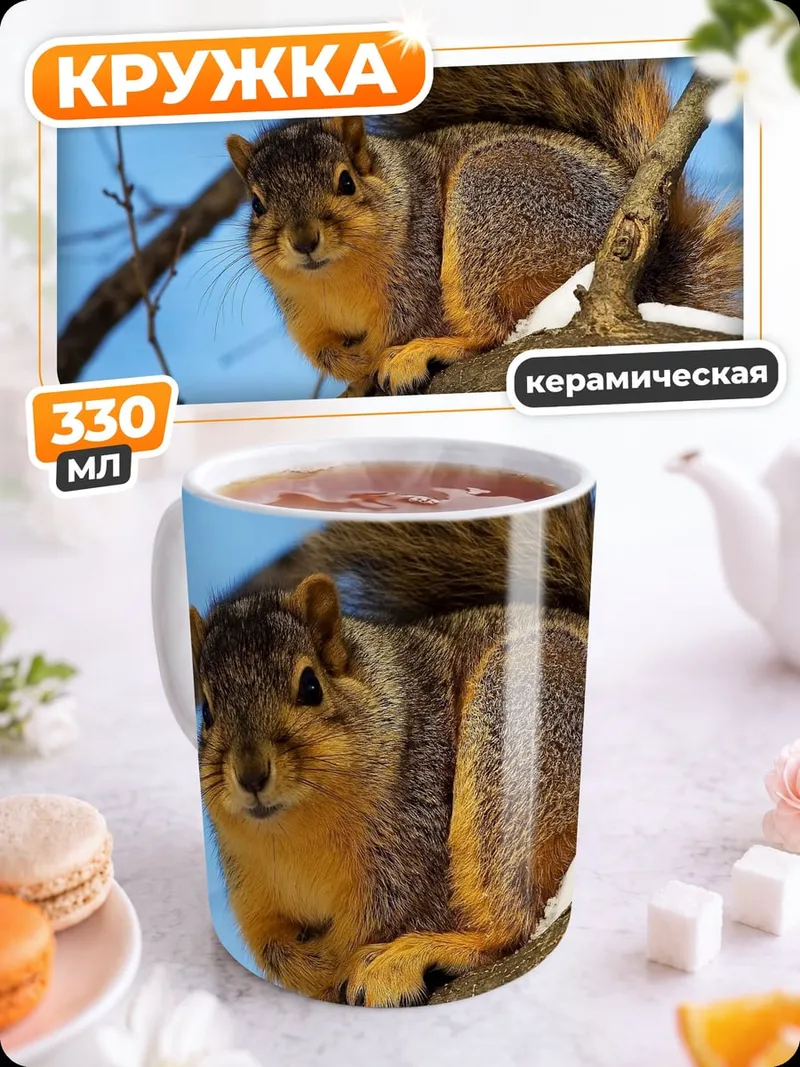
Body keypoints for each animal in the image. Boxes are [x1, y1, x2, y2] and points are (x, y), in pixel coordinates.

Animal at [190, 498, 592, 1007]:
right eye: (207, 711)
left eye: (311, 685)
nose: (251, 773)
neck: (291, 836)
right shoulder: (255, 895)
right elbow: (276, 951)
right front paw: (314, 966)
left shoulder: (415, 848)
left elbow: (383, 921)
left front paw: (351, 958)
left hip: (520, 734)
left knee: (514, 922)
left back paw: (414, 957)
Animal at [225, 60, 742, 397]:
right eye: (257, 204)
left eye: (346, 181)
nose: (303, 240)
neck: (335, 282)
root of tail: (650, 274)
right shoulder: (304, 316)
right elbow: (327, 355)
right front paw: (354, 365)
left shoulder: (418, 272)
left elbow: (403, 325)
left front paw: (381, 354)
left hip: (493, 203)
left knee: (492, 330)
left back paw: (425, 353)